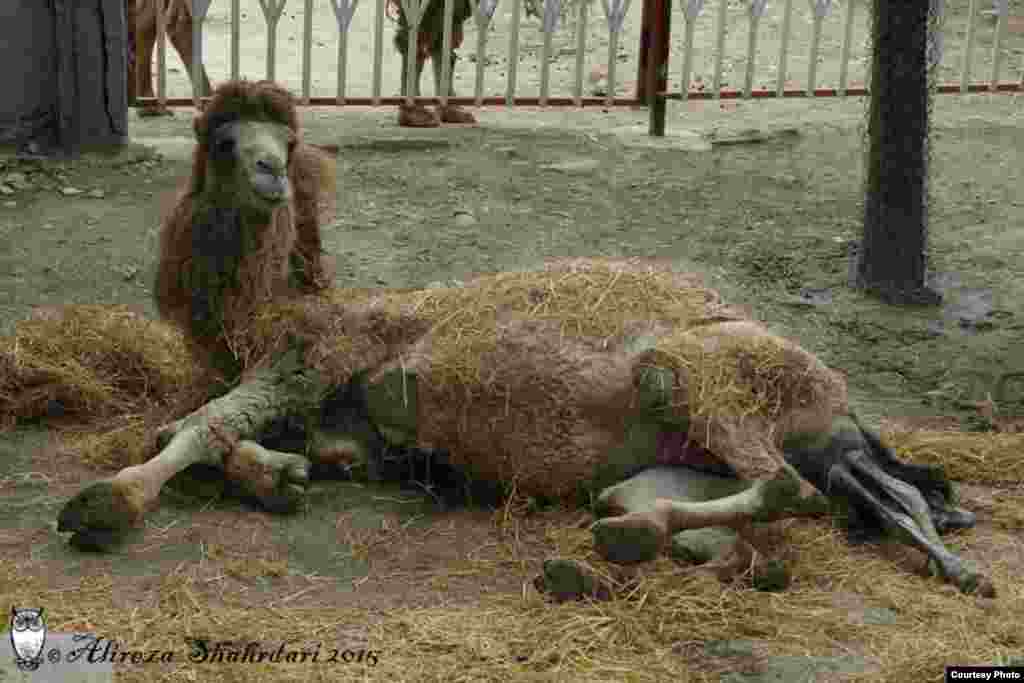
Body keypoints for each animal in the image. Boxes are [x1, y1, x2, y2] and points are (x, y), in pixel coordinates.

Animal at [56, 78, 991, 598]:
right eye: (224, 140)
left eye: (285, 139)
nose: (271, 173)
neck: (271, 312)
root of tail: (840, 402)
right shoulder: (334, 410)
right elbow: (213, 429)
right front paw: (283, 472)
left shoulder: (306, 361)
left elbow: (196, 424)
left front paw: (105, 503)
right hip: (694, 448)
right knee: (758, 516)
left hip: (697, 374)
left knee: (786, 490)